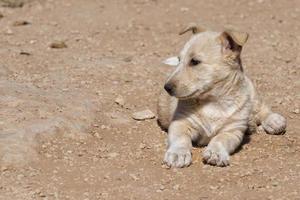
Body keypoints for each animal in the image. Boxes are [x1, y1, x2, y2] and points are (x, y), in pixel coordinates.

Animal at [157, 23, 286, 167]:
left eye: (195, 61)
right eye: (179, 60)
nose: (166, 87)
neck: (213, 101)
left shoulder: (232, 131)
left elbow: (220, 139)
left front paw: (216, 153)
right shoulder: (180, 123)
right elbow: (180, 139)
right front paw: (177, 154)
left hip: (251, 93)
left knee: (261, 108)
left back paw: (273, 121)